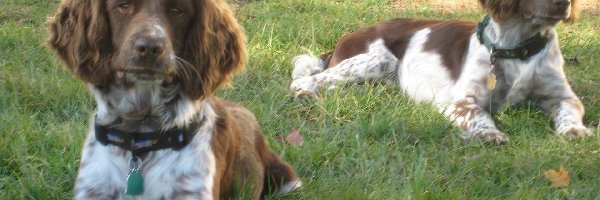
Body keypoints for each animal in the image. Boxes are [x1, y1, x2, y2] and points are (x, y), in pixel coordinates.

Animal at [290, 0, 592, 144]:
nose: (563, 3)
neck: (516, 48)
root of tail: (344, 38)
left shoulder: (562, 96)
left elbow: (569, 110)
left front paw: (575, 130)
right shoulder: (462, 102)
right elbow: (480, 115)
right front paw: (489, 134)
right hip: (379, 60)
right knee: (304, 80)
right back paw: (306, 93)